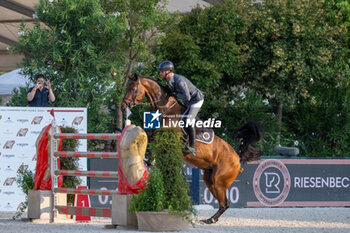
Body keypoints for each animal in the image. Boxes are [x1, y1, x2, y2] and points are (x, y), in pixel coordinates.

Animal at [121, 74, 264, 224]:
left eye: (133, 88)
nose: (123, 107)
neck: (167, 110)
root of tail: (237, 156)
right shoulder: (157, 136)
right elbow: (149, 139)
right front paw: (149, 159)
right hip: (210, 179)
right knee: (223, 202)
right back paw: (210, 219)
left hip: (219, 181)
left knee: (225, 203)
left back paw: (211, 220)